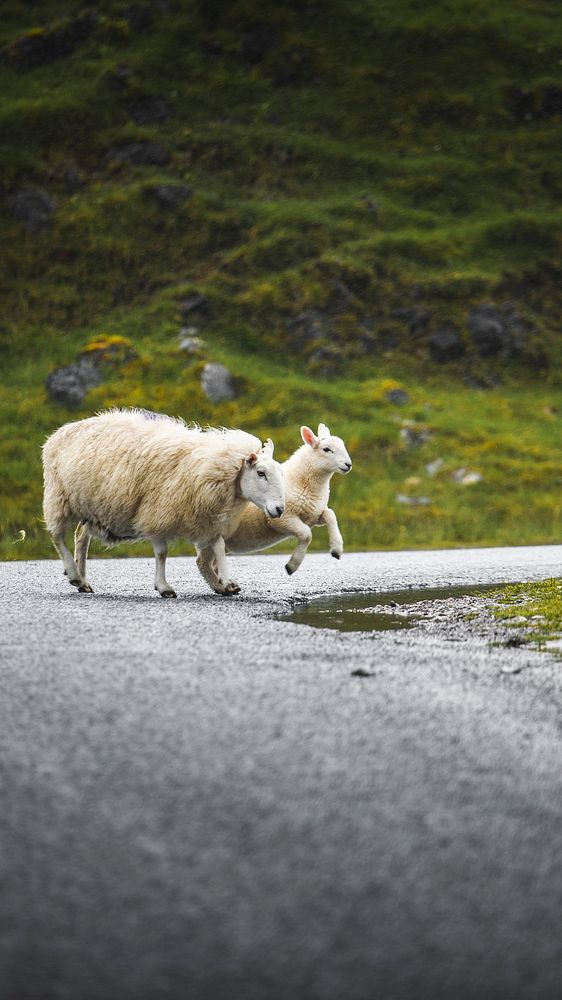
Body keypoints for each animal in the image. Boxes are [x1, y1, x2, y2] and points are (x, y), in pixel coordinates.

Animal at [42, 410, 284, 596]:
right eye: (261, 473)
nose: (280, 509)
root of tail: (62, 431)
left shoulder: (209, 518)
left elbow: (219, 548)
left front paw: (225, 582)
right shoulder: (157, 512)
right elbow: (161, 553)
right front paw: (164, 587)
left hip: (92, 507)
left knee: (81, 537)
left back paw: (83, 581)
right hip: (59, 495)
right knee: (57, 535)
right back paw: (73, 574)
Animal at [200, 422, 350, 580]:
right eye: (326, 449)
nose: (348, 464)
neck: (302, 481)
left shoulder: (313, 514)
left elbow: (331, 514)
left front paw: (336, 549)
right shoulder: (282, 518)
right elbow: (306, 534)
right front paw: (291, 566)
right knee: (203, 562)